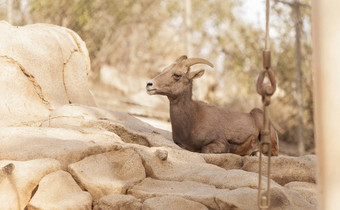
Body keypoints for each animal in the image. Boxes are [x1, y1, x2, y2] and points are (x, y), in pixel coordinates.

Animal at [146, 55, 278, 155]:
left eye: (177, 75)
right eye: (164, 70)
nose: (149, 85)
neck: (192, 120)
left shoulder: (220, 143)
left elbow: (204, 149)